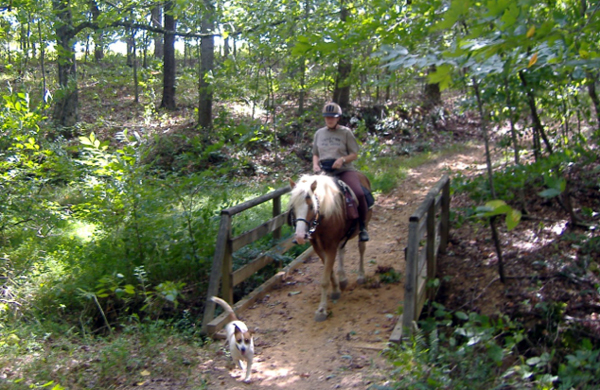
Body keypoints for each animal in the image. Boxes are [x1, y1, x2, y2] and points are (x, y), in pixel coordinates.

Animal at [290, 172, 370, 322]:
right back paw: (343, 278)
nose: (300, 236)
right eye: (293, 208)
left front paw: (321, 310)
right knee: (342, 250)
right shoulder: (319, 248)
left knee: (361, 248)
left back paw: (361, 275)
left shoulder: (330, 246)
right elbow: (330, 271)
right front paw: (335, 290)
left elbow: (325, 279)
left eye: (311, 206)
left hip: (365, 225)